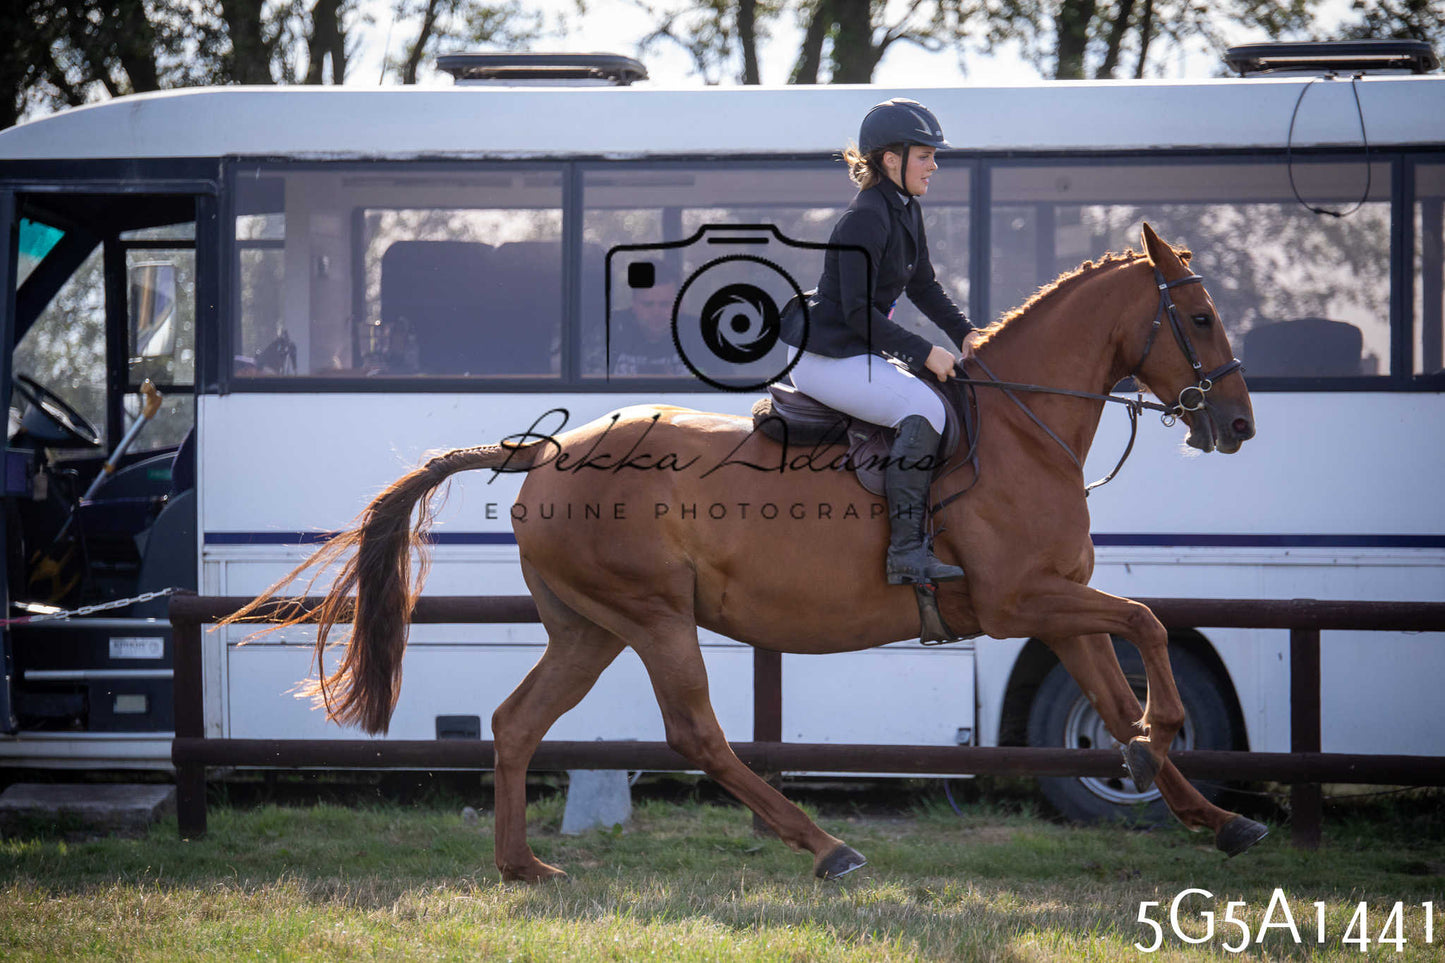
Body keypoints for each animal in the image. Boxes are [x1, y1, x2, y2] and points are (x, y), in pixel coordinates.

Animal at [231, 223, 1262, 882]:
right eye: (1198, 319)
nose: (1239, 426)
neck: (1021, 427)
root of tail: (545, 454)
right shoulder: (1020, 603)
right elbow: (1150, 626)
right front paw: (1158, 738)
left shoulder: (1060, 603)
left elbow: (1118, 681)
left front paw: (1206, 810)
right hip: (653, 617)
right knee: (696, 733)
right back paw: (826, 848)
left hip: (589, 628)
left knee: (518, 722)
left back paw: (524, 865)